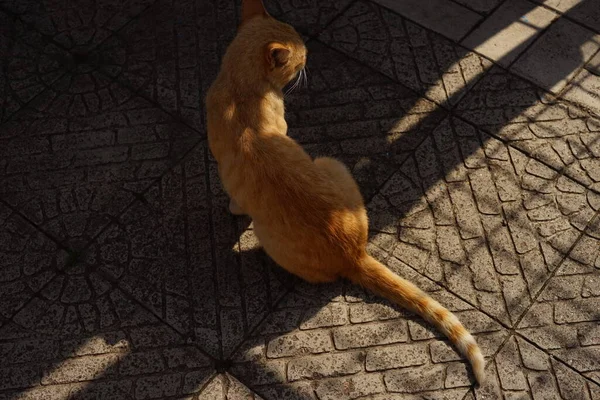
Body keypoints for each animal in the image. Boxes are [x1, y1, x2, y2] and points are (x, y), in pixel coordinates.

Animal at [205, 0, 482, 384]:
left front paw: (232, 209)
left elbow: (234, 200)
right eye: (301, 58)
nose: (309, 59)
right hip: (330, 168)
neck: (240, 88)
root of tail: (354, 254)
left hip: (314, 175)